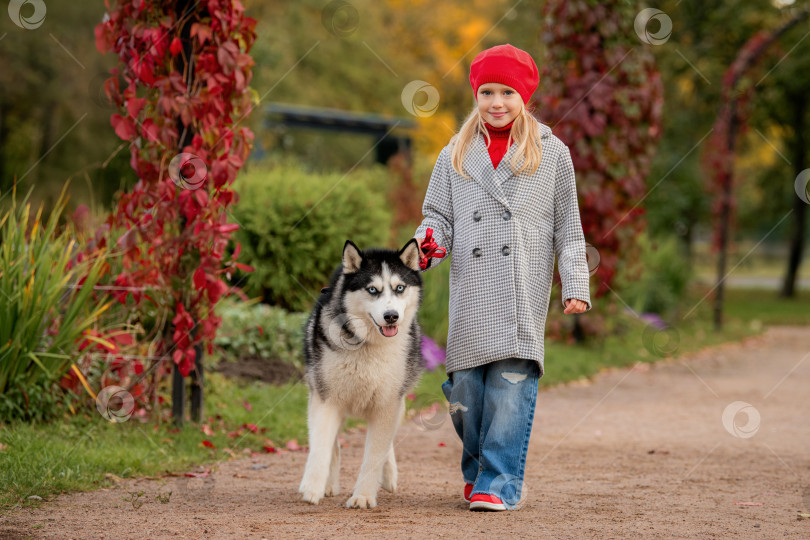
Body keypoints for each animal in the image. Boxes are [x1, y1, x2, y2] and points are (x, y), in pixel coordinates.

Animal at [296, 238, 422, 508]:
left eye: (399, 288)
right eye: (372, 290)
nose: (391, 316)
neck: (367, 345)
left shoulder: (387, 404)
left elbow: (375, 454)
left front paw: (363, 496)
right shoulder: (325, 399)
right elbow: (321, 447)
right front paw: (312, 487)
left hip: (399, 401)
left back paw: (388, 475)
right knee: (332, 444)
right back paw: (329, 484)